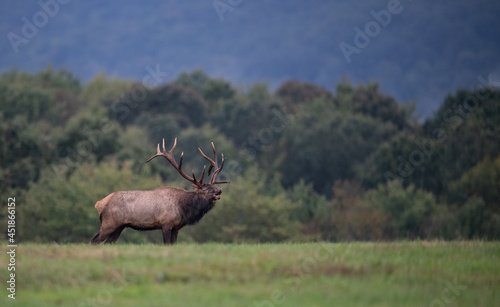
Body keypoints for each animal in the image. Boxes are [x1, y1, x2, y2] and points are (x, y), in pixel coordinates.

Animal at [91, 138, 229, 245]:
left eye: (213, 186)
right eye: (205, 189)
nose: (219, 190)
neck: (183, 209)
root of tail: (99, 204)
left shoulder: (176, 227)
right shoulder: (166, 223)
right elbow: (166, 244)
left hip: (119, 226)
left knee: (108, 242)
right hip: (109, 223)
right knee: (94, 240)